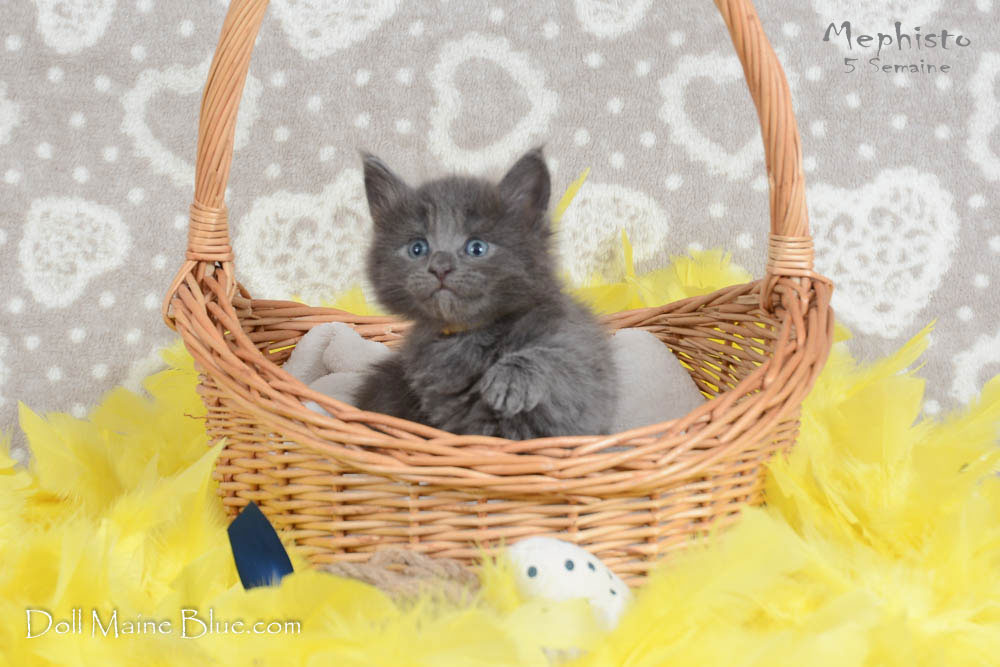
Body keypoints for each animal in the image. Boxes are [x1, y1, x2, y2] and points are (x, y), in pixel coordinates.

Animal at [353, 148, 617, 439]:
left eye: (477, 247)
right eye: (417, 248)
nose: (440, 266)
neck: (468, 336)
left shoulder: (581, 353)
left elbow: (559, 359)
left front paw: (509, 381)